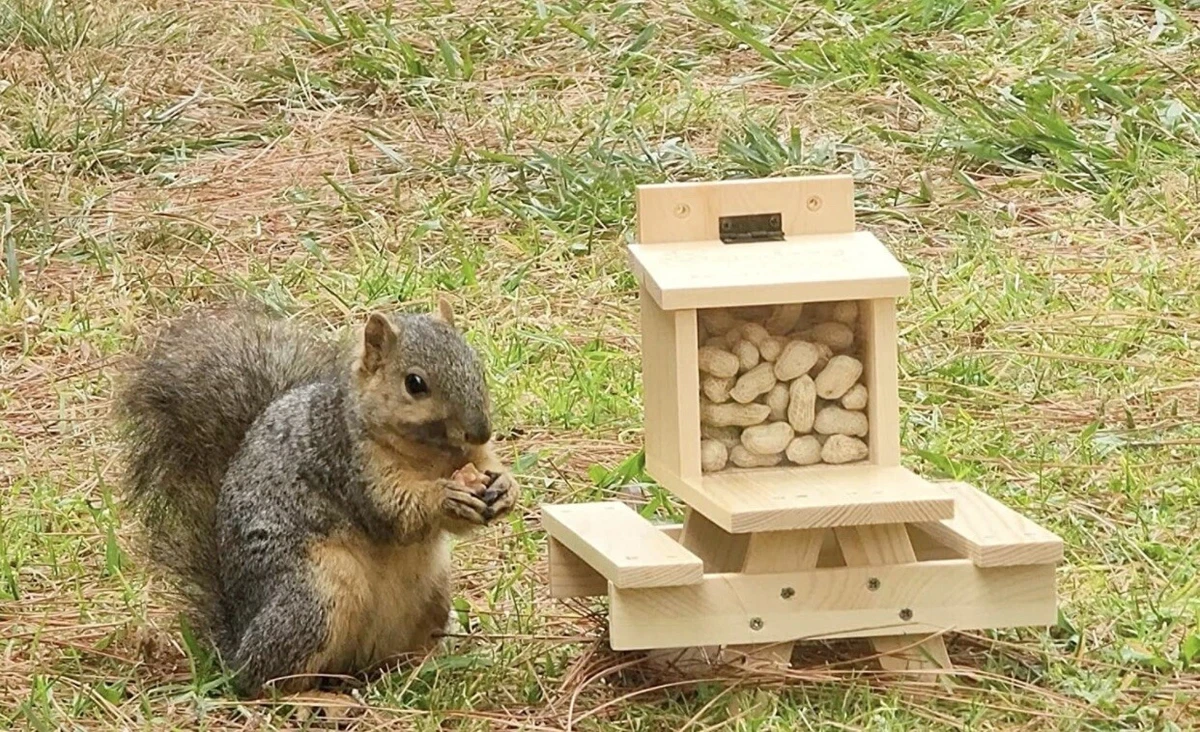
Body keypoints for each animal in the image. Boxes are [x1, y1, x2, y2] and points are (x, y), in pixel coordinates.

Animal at [112, 297, 518, 699]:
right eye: (414, 384)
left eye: (475, 363)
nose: (481, 431)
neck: (431, 455)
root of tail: (237, 644)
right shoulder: (349, 464)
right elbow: (394, 513)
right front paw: (446, 495)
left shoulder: (472, 457)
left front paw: (506, 489)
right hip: (312, 601)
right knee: (268, 680)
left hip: (431, 599)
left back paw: (417, 675)